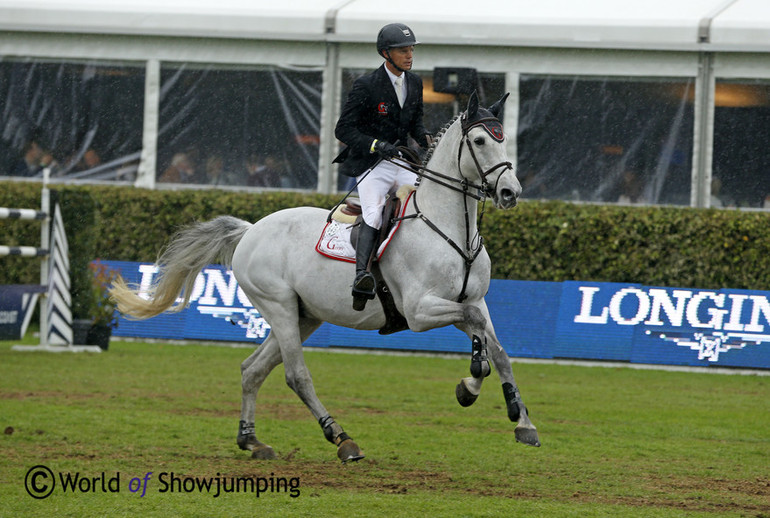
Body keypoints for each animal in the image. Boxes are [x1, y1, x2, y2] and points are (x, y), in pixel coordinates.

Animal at [111, 92, 536, 464]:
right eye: (480, 140)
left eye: (504, 139)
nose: (510, 192)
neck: (451, 228)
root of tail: (250, 230)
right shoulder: (420, 311)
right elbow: (477, 330)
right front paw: (471, 383)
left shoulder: (471, 300)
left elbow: (497, 348)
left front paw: (520, 419)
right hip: (279, 307)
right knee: (296, 375)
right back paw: (342, 440)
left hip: (305, 316)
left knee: (253, 369)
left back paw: (252, 441)